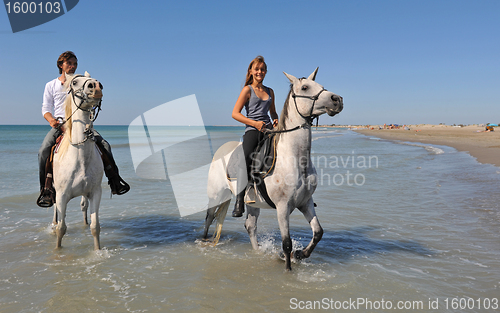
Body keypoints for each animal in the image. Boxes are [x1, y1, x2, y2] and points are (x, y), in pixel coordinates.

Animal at [52, 72, 104, 250]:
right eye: (74, 83)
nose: (96, 86)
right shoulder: (61, 196)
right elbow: (61, 228)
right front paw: (57, 251)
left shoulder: (95, 192)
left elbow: (95, 227)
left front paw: (97, 251)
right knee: (55, 212)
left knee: (83, 207)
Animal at [204, 69, 344, 270]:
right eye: (305, 87)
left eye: (321, 85)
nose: (337, 99)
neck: (294, 159)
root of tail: (220, 151)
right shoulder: (282, 207)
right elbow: (286, 243)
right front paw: (288, 268)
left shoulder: (305, 202)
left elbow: (318, 232)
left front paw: (300, 254)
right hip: (216, 195)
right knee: (209, 218)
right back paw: (203, 241)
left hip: (252, 203)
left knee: (250, 226)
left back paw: (257, 252)